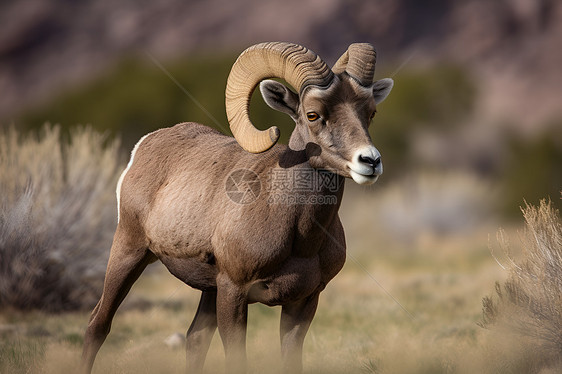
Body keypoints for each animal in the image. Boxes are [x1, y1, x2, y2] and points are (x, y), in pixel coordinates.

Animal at [81, 41, 392, 374]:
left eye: (370, 113)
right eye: (312, 114)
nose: (370, 161)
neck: (301, 237)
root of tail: (143, 146)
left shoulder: (303, 302)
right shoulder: (234, 292)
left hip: (207, 289)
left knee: (195, 339)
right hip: (129, 252)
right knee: (97, 325)